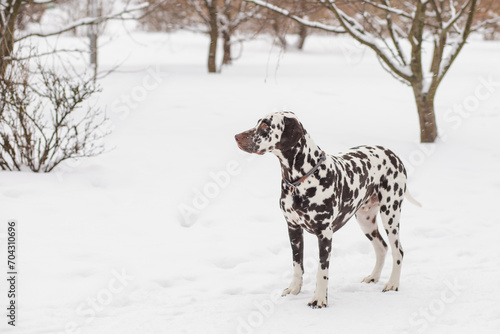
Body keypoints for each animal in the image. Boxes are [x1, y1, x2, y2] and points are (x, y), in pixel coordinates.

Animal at [235, 111, 422, 308]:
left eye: (266, 125)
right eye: (258, 122)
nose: (236, 137)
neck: (301, 180)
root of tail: (392, 154)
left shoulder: (325, 234)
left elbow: (321, 271)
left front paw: (319, 299)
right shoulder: (293, 229)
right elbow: (297, 265)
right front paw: (294, 289)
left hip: (390, 215)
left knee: (398, 250)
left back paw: (392, 284)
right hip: (365, 221)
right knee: (381, 248)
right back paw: (373, 277)